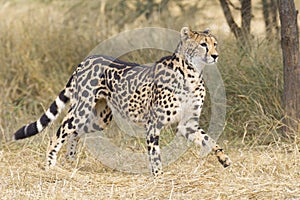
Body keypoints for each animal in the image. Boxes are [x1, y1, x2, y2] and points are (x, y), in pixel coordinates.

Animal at [13, 26, 232, 175]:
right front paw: (159, 178)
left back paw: (71, 162)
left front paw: (224, 159)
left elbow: (210, 140)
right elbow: (155, 155)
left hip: (101, 119)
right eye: (203, 45)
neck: (192, 73)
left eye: (215, 44)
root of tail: (87, 59)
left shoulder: (188, 123)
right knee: (57, 134)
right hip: (81, 109)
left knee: (75, 133)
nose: (216, 55)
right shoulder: (153, 124)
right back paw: (51, 167)